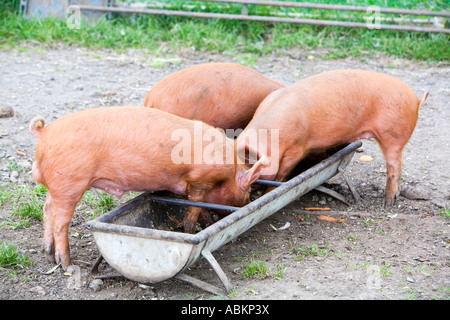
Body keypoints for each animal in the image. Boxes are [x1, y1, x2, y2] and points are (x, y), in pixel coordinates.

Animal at [29, 106, 268, 268]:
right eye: (247, 191)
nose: (248, 201)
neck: (230, 170)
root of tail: (44, 132)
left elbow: (201, 210)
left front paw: (207, 223)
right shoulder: (200, 180)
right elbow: (193, 212)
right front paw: (191, 232)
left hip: (56, 187)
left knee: (46, 210)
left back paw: (47, 253)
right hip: (69, 183)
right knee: (60, 221)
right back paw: (67, 263)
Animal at [236, 69, 428, 206]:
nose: (251, 193)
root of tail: (416, 100)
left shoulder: (296, 149)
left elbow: (281, 175)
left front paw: (268, 192)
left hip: (394, 134)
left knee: (394, 165)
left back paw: (387, 203)